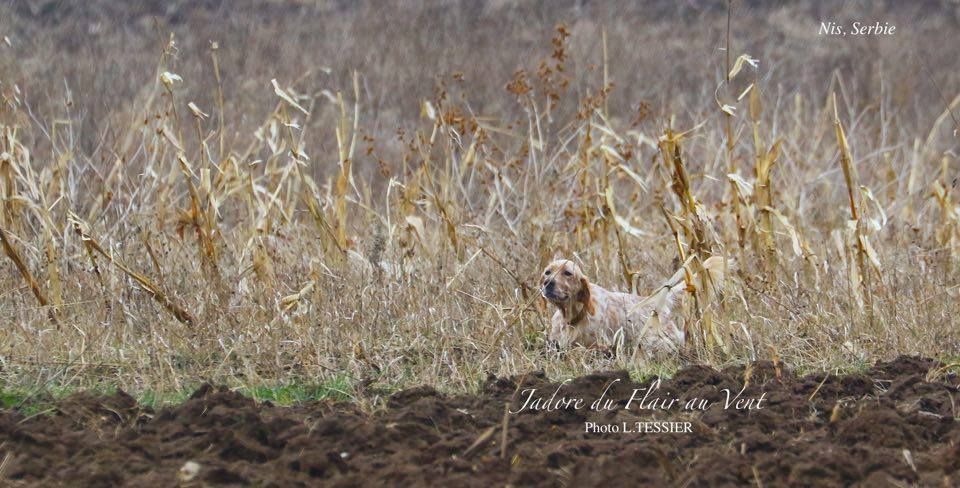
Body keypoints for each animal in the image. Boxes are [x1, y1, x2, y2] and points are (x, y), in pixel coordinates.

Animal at [536, 255, 732, 354]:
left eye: (567, 273)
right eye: (547, 272)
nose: (547, 283)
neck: (573, 316)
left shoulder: (598, 345)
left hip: (653, 340)